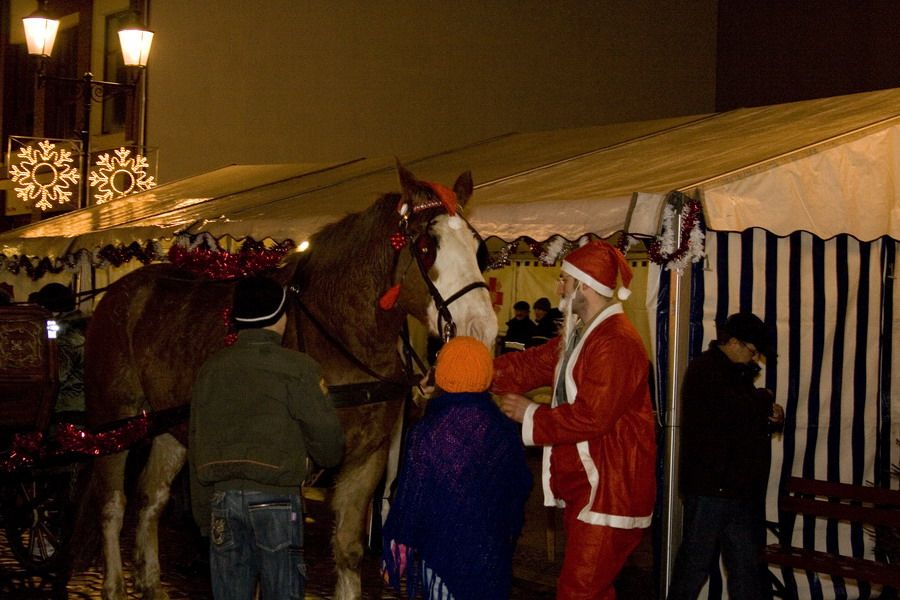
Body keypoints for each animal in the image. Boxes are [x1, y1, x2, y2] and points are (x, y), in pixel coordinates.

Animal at [79, 164, 500, 600]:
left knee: (151, 498)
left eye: (479, 249)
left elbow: (348, 551)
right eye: (427, 247)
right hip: (115, 419)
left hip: (172, 425)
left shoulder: (366, 459)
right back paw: (114, 585)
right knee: (112, 504)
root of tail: (122, 291)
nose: (480, 331)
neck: (339, 334)